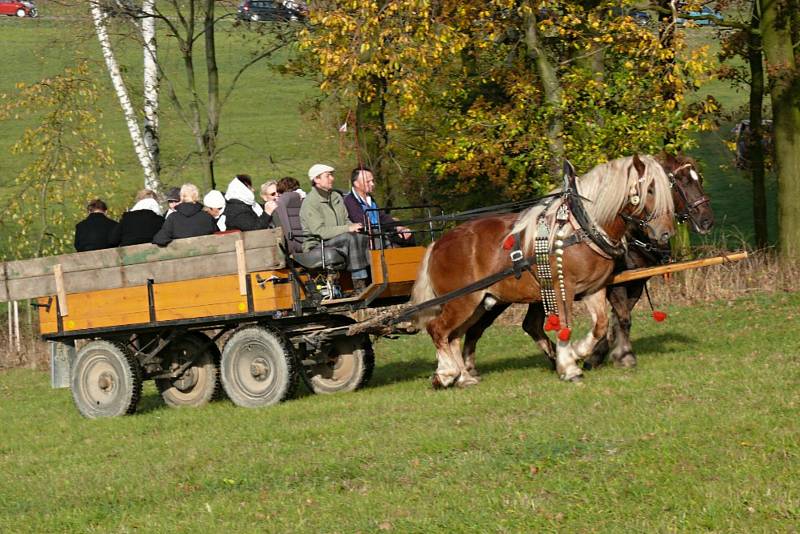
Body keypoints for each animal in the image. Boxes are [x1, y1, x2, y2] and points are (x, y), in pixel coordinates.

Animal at [412, 153, 676, 388]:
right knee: (438, 330)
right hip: (461, 301)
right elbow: (564, 326)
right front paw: (569, 367)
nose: (665, 234)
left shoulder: (595, 289)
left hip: (479, 303)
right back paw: (446, 374)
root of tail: (438, 243)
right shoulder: (563, 288)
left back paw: (464, 378)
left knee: (454, 336)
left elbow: (600, 325)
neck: (581, 228)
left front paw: (578, 352)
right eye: (650, 190)